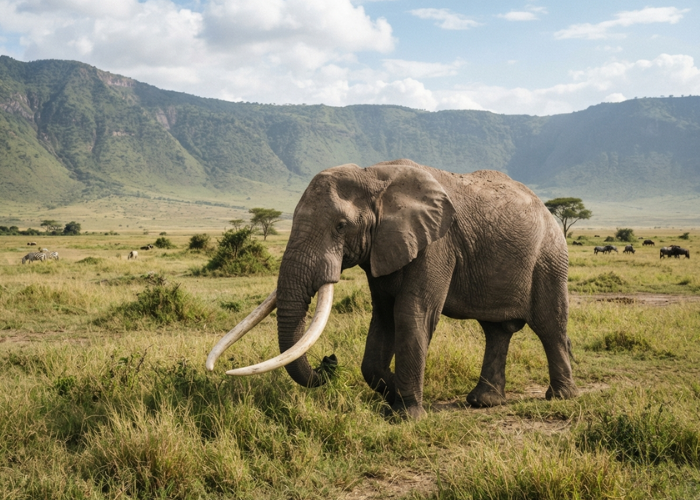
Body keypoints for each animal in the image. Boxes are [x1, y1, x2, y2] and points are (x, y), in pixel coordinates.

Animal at [207, 159, 578, 419]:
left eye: (341, 226)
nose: (329, 360)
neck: (374, 175)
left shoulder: (436, 243)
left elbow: (412, 313)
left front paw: (406, 415)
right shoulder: (382, 246)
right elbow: (384, 315)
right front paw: (390, 396)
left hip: (549, 256)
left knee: (549, 324)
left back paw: (562, 397)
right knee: (496, 331)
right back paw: (483, 402)